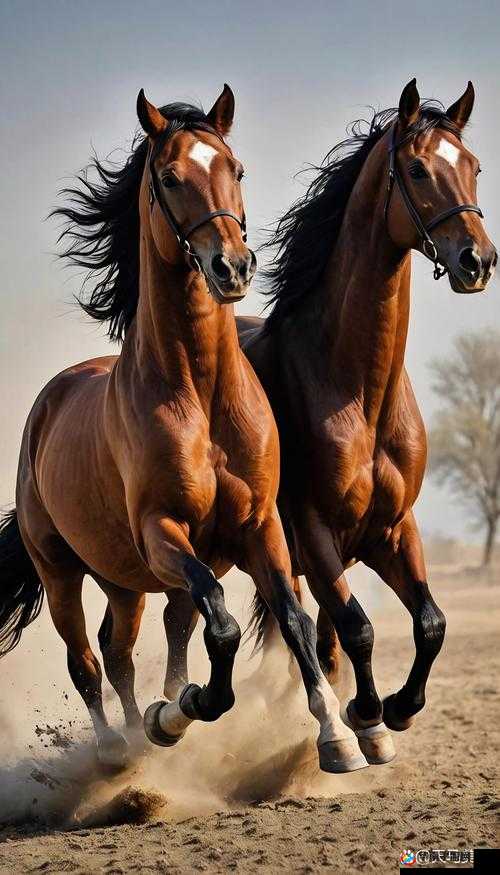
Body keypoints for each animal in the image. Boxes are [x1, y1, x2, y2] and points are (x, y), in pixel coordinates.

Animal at [0, 85, 367, 774]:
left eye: (236, 169)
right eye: (170, 178)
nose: (233, 268)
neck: (199, 396)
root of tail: (47, 405)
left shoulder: (259, 527)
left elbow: (294, 621)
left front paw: (337, 736)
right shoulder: (162, 532)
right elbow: (221, 625)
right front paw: (180, 711)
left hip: (122, 580)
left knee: (119, 648)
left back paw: (141, 730)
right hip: (62, 569)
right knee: (84, 658)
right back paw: (118, 748)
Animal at [235, 79, 498, 764]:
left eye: (474, 167)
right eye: (417, 168)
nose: (477, 261)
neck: (358, 392)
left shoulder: (392, 531)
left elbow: (430, 622)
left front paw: (398, 710)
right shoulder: (314, 531)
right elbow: (359, 628)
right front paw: (368, 718)